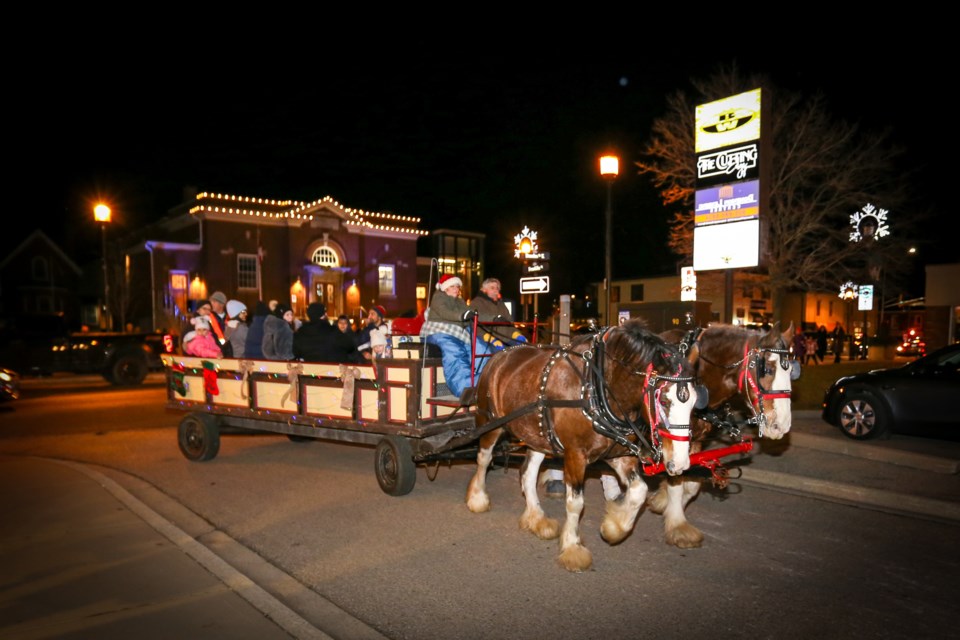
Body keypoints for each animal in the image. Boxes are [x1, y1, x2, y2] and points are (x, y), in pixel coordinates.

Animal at [464, 318, 696, 572]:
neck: (596, 389)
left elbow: (639, 491)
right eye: (664, 400)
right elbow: (575, 503)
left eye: (695, 402)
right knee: (484, 458)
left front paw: (613, 528)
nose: (681, 463)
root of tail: (498, 355)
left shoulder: (618, 453)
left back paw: (537, 519)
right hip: (489, 422)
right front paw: (573, 548)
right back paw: (477, 498)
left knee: (527, 473)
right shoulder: (574, 455)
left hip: (537, 434)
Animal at [648, 322, 800, 548]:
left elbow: (691, 485)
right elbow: (677, 479)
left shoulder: (695, 439)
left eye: (791, 372)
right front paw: (678, 526)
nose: (781, 425)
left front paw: (663, 501)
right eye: (768, 369)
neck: (701, 372)